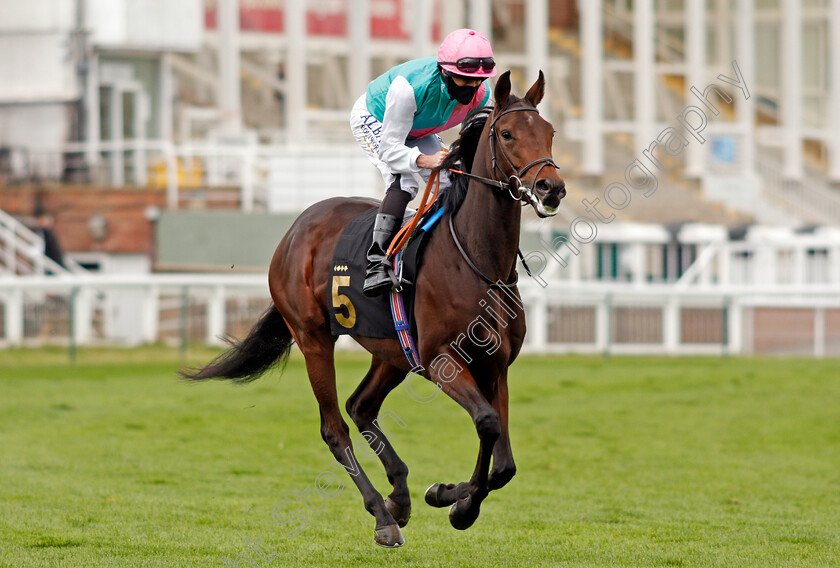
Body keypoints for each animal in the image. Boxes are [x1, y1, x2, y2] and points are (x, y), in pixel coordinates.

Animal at [183, 71, 564, 544]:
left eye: (550, 132)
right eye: (508, 133)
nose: (552, 188)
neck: (478, 260)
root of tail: (296, 228)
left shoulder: (496, 366)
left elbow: (505, 462)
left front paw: (446, 494)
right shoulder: (443, 361)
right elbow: (488, 424)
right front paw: (459, 505)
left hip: (392, 351)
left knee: (361, 406)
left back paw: (399, 496)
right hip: (313, 338)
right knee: (334, 427)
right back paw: (383, 517)